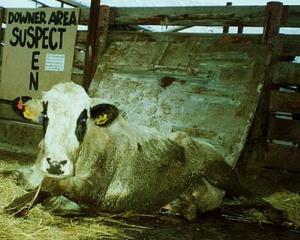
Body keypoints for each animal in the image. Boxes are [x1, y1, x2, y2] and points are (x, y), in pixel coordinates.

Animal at [4, 82, 232, 219]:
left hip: (223, 171)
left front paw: (17, 205)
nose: (56, 164)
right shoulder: (32, 172)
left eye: (83, 118)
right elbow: (11, 173)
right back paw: (186, 207)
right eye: (45, 116)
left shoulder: (95, 194)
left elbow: (50, 185)